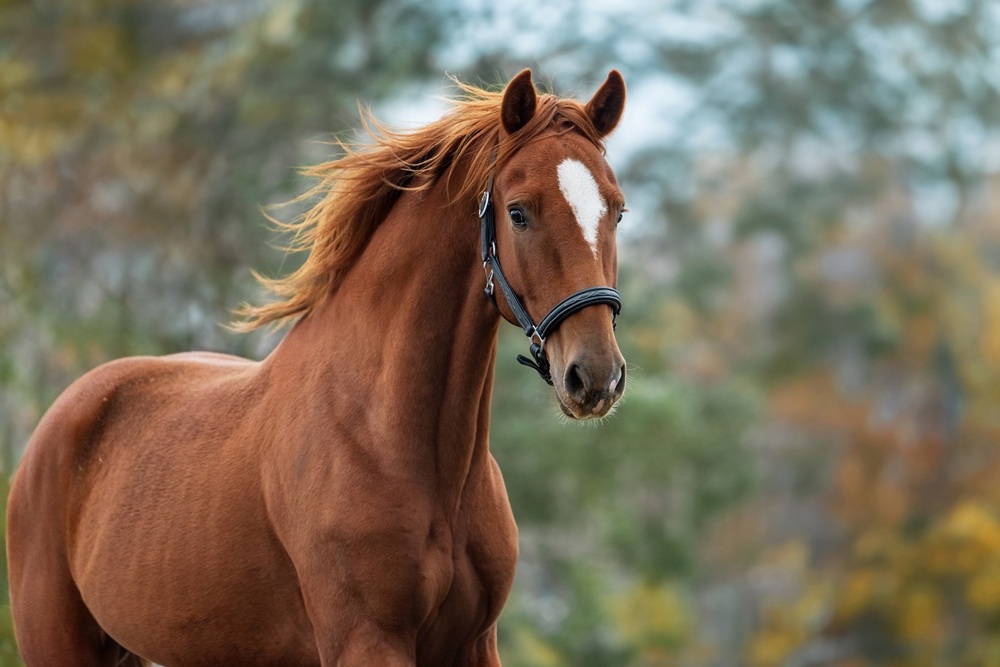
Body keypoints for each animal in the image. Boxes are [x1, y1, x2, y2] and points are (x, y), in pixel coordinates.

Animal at [7, 68, 627, 666]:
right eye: (518, 213)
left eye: (618, 211)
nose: (596, 377)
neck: (392, 438)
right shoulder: (366, 641)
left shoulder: (473, 644)